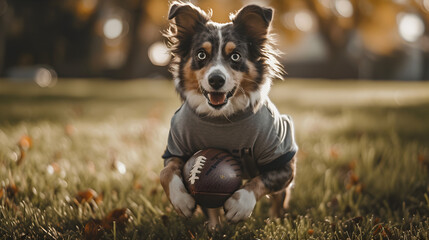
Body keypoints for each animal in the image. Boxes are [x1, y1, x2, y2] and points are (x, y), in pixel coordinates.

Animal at [159, 0, 296, 229]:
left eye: (235, 56)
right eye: (201, 55)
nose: (216, 80)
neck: (222, 117)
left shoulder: (283, 161)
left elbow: (260, 181)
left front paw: (240, 205)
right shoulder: (177, 147)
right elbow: (166, 172)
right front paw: (183, 202)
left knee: (279, 198)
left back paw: (276, 222)